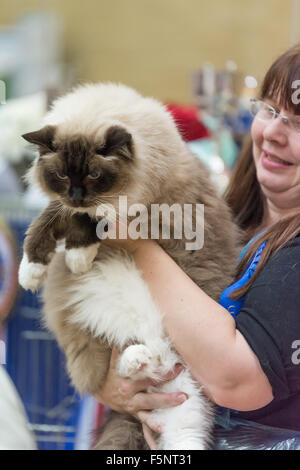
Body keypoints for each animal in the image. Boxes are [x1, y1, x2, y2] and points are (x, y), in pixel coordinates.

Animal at [18, 82, 239, 450]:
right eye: (62, 174)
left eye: (94, 174)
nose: (77, 195)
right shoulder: (64, 204)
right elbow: (45, 222)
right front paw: (31, 272)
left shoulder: (125, 208)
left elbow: (83, 222)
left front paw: (78, 255)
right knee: (144, 367)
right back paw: (138, 359)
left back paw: (138, 356)